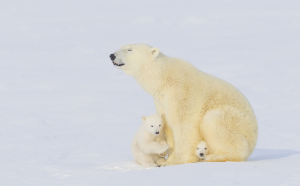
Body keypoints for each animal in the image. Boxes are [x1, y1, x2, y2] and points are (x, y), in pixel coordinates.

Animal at [109, 43, 258, 166]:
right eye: (121, 46)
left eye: (129, 49)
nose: (112, 55)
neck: (164, 78)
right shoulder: (161, 101)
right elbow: (168, 127)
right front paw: (166, 161)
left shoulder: (181, 93)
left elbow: (183, 125)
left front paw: (181, 161)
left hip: (238, 122)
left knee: (217, 122)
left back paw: (216, 156)